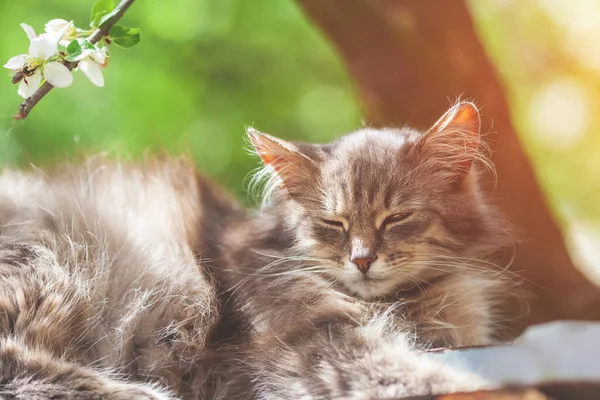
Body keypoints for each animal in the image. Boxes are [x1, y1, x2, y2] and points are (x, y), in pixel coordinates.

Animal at [0, 101, 516, 398]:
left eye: (397, 218)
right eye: (333, 223)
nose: (363, 260)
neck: (403, 304)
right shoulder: (315, 340)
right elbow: (408, 374)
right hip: (50, 273)